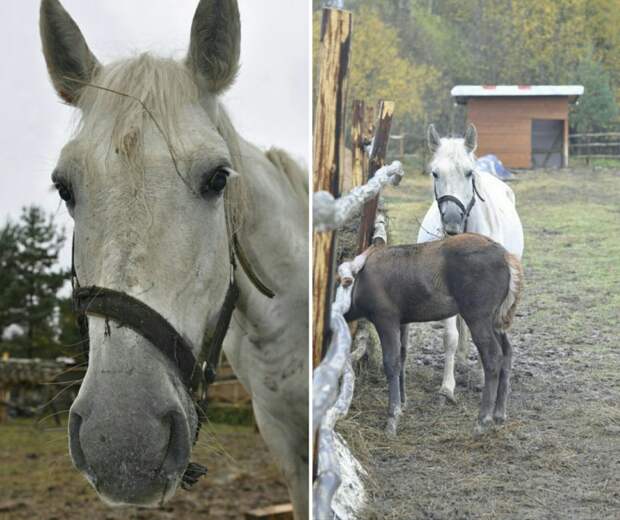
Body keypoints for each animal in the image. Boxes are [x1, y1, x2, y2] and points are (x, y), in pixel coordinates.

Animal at [416, 124, 524, 404]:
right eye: (435, 173)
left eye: (468, 173)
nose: (452, 223)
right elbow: (450, 336)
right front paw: (447, 387)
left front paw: (481, 378)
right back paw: (463, 359)